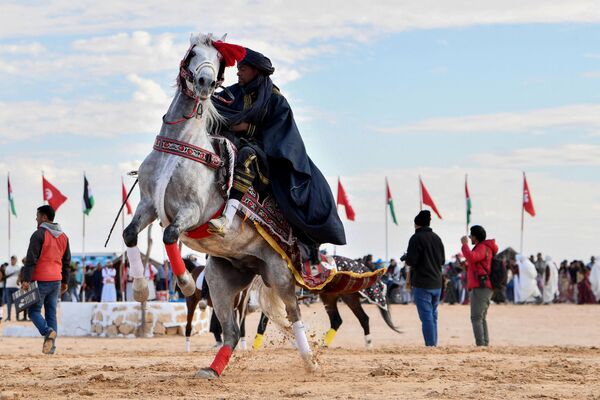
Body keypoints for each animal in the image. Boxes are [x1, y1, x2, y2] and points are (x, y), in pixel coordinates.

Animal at [123, 33, 318, 378]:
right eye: (194, 53)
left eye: (218, 60)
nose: (205, 82)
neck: (182, 145)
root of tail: (254, 266)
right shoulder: (148, 204)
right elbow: (130, 235)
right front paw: (141, 289)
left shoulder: (192, 211)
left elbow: (170, 235)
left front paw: (186, 283)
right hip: (221, 281)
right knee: (231, 331)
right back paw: (213, 369)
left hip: (280, 274)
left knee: (293, 314)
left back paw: (309, 360)